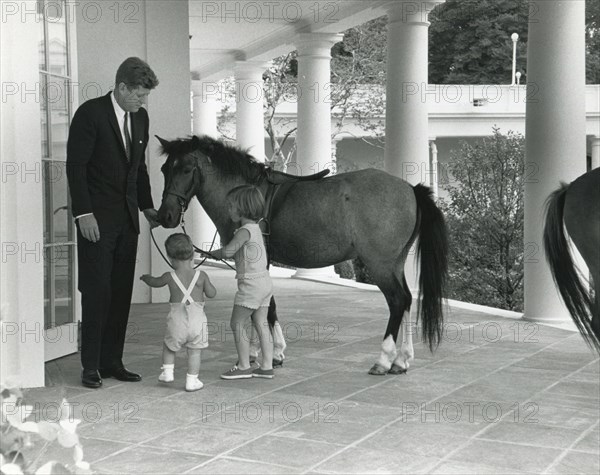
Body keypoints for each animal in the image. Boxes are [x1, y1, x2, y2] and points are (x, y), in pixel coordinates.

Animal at [157, 135, 448, 376]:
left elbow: (264, 307)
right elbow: (261, 305)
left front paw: (271, 353)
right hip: (395, 263)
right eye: (164, 169)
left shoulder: (254, 262)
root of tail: (410, 189)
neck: (246, 192)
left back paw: (384, 360)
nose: (166, 215)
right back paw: (402, 360)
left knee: (397, 301)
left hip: (380, 265)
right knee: (408, 299)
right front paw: (260, 352)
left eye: (186, 169)